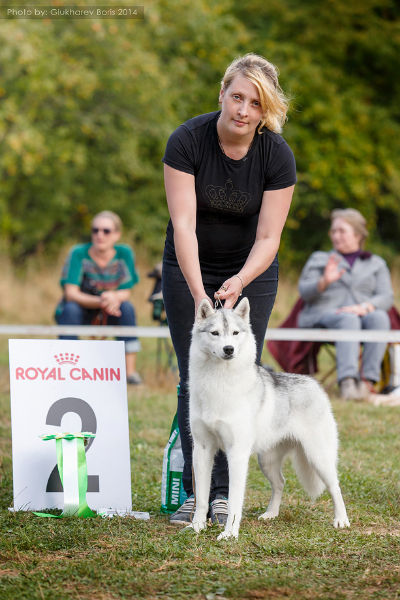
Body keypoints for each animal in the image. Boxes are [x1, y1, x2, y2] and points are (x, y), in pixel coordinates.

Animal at [189, 298, 348, 540]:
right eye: (214, 333)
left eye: (235, 333)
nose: (229, 349)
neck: (218, 383)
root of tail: (314, 383)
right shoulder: (203, 449)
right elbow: (201, 497)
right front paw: (197, 526)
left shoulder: (236, 454)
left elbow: (234, 501)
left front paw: (230, 534)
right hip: (267, 461)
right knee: (281, 483)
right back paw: (271, 514)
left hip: (318, 457)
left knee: (335, 486)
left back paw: (341, 520)